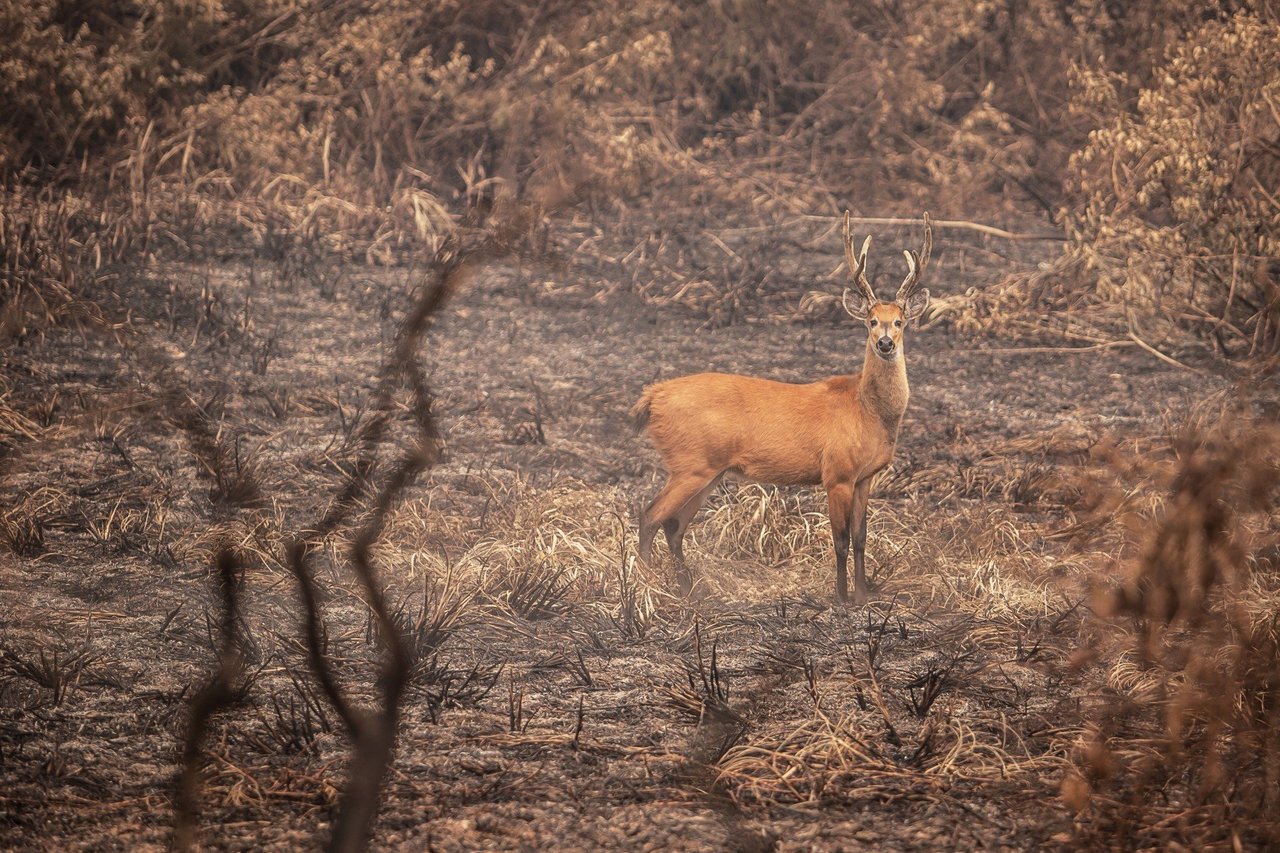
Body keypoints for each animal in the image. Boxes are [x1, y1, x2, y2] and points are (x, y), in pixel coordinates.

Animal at [629, 208, 931, 601]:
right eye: (871, 321)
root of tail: (653, 397)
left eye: (900, 321)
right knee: (650, 516)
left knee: (673, 525)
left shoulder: (865, 477)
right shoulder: (836, 473)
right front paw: (841, 597)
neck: (869, 411)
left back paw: (689, 590)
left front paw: (864, 596)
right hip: (690, 462)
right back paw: (649, 585)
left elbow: (862, 538)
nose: (884, 343)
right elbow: (840, 540)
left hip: (707, 470)